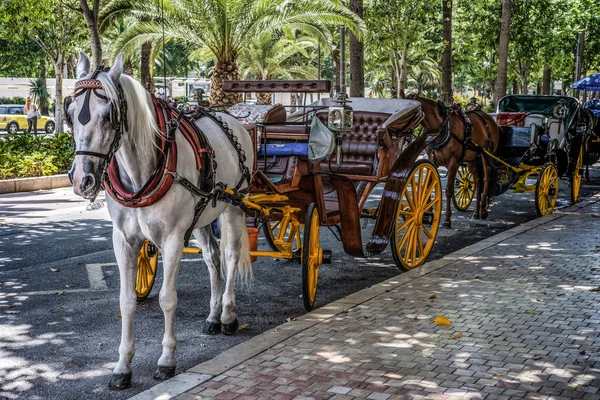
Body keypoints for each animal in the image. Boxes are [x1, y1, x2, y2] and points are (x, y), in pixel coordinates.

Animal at [67, 53, 254, 388]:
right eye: (71, 113)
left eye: (109, 115)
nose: (81, 180)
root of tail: (232, 117)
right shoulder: (123, 240)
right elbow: (126, 301)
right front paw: (122, 367)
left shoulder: (172, 238)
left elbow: (168, 298)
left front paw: (167, 360)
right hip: (204, 214)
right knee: (212, 258)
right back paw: (213, 316)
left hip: (235, 206)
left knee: (231, 256)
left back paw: (229, 316)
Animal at [410, 96, 500, 228]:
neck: (442, 128)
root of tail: (488, 117)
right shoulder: (432, 160)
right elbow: (429, 186)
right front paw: (428, 214)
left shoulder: (453, 163)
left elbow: (448, 191)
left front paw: (447, 220)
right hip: (471, 159)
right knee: (477, 180)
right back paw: (476, 212)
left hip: (487, 152)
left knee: (487, 177)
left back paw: (483, 210)